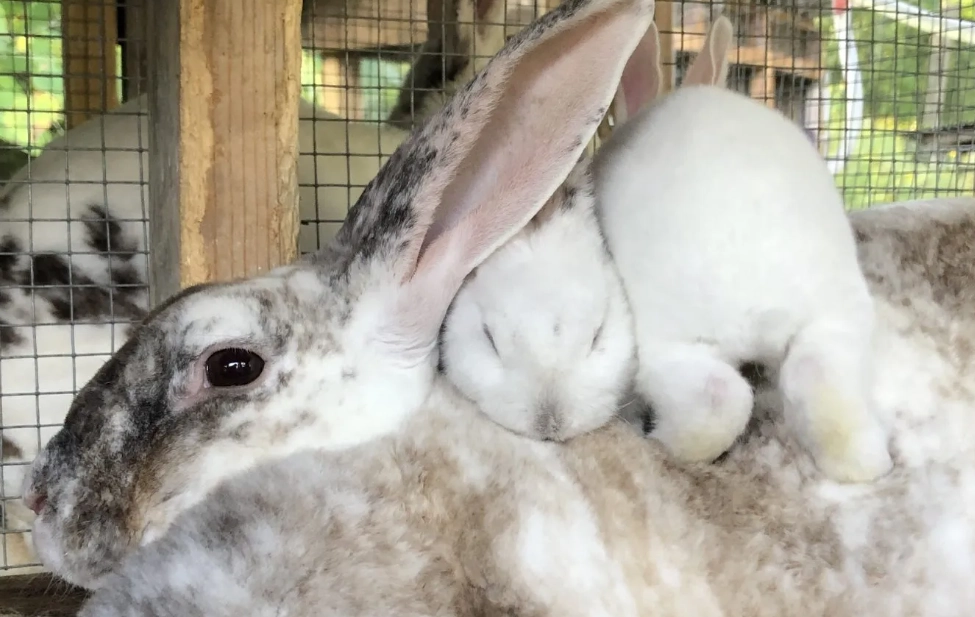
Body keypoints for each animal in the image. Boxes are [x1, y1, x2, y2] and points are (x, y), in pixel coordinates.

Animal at [591, 15, 893, 484]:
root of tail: (760, 302)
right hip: (837, 321)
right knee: (818, 383)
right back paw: (870, 464)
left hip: (663, 349)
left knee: (719, 403)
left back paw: (660, 440)